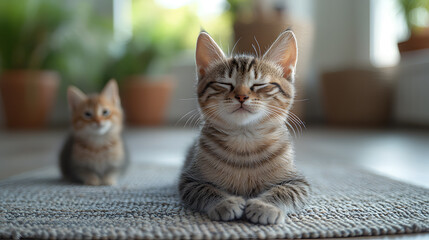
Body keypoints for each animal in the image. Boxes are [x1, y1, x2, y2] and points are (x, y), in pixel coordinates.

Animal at [179, 31, 310, 224]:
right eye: (225, 83)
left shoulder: (298, 181)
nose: (241, 96)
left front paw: (265, 206)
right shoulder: (190, 180)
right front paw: (225, 203)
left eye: (260, 84)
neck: (244, 139)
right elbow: (206, 190)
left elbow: (285, 191)